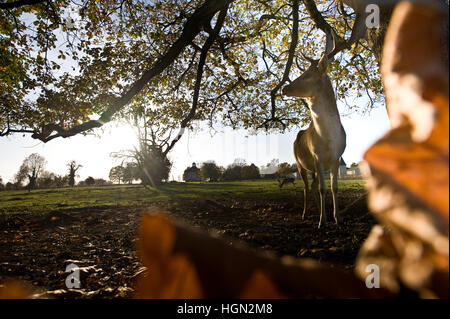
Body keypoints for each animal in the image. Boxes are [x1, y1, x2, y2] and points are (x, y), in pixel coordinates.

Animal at [282, 31, 348, 229]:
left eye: (308, 75)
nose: (284, 88)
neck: (329, 139)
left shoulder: (335, 159)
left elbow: (333, 188)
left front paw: (337, 218)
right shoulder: (317, 157)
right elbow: (322, 189)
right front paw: (322, 221)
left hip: (314, 168)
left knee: (312, 186)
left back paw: (318, 211)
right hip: (299, 163)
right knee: (306, 187)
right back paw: (305, 213)